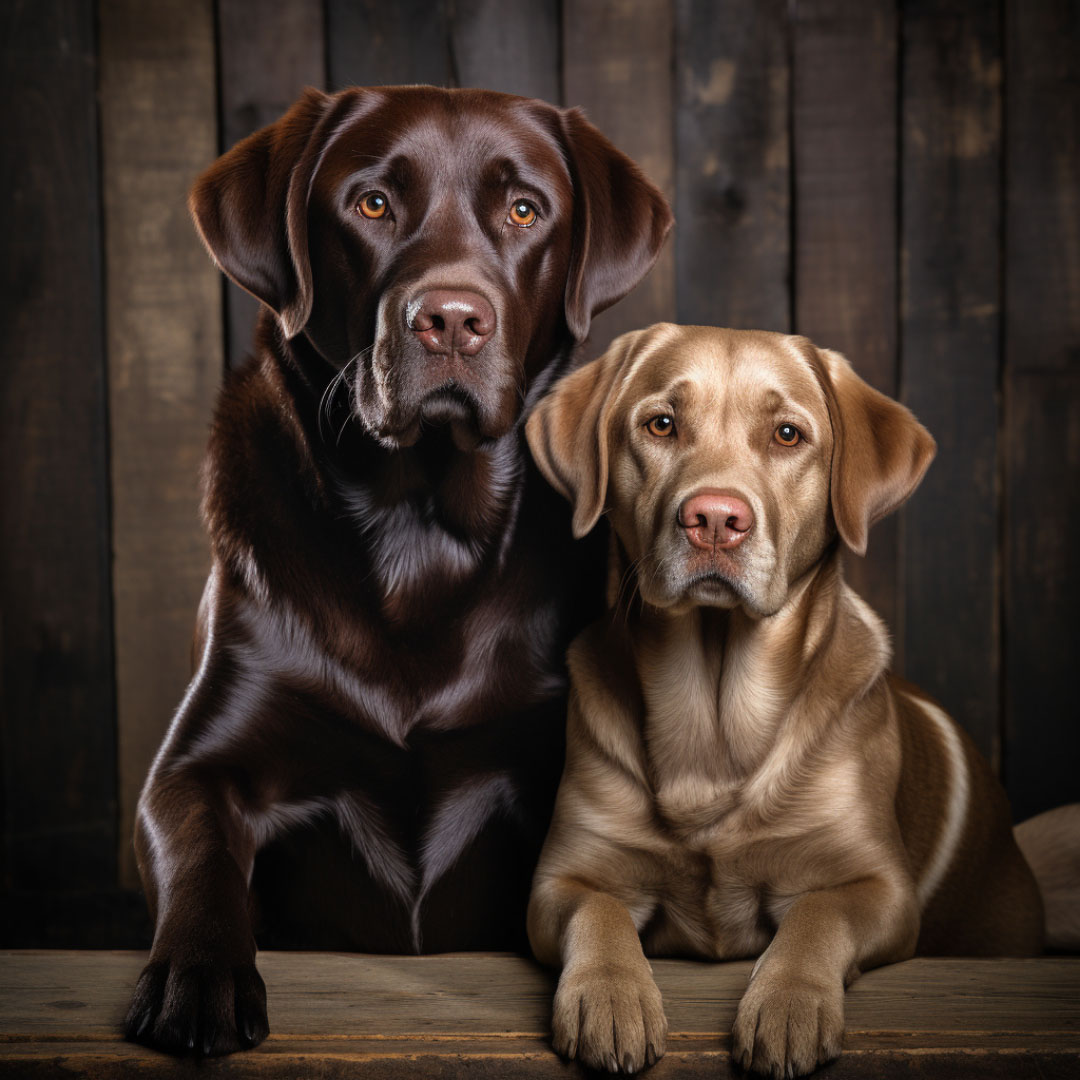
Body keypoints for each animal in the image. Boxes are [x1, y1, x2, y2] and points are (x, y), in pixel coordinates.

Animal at [122, 88, 669, 1058]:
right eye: (372, 204)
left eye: (523, 210)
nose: (449, 319)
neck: (419, 532)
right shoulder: (195, 768)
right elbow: (199, 854)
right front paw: (198, 976)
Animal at [522, 324, 1054, 1075]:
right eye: (661, 424)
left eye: (786, 434)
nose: (715, 518)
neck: (715, 723)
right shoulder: (563, 880)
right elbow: (598, 915)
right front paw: (610, 993)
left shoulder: (879, 889)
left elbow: (816, 917)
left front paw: (788, 1004)